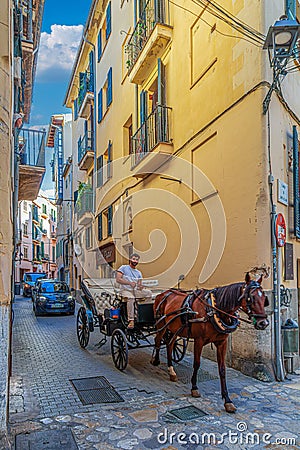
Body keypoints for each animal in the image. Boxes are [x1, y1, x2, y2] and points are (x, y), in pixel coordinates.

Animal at [151, 272, 270, 414]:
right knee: (158, 340)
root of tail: (163, 293)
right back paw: (155, 360)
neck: (214, 310)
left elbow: (222, 370)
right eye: (250, 298)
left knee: (170, 344)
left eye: (264, 298)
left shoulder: (222, 343)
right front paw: (194, 388)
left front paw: (227, 400)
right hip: (162, 325)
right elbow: (197, 364)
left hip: (174, 329)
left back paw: (171, 371)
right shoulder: (199, 340)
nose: (263, 323)